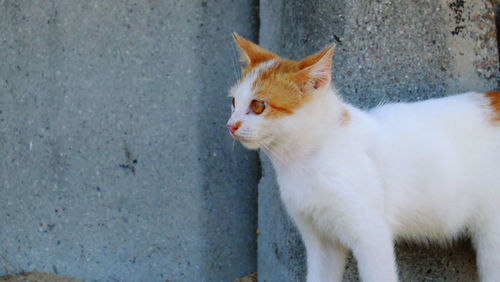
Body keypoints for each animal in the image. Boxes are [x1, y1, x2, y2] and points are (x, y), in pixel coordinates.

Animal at [227, 33, 500, 282]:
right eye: (233, 102)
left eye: (259, 106)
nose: (230, 125)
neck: (304, 158)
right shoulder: (320, 241)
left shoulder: (371, 235)